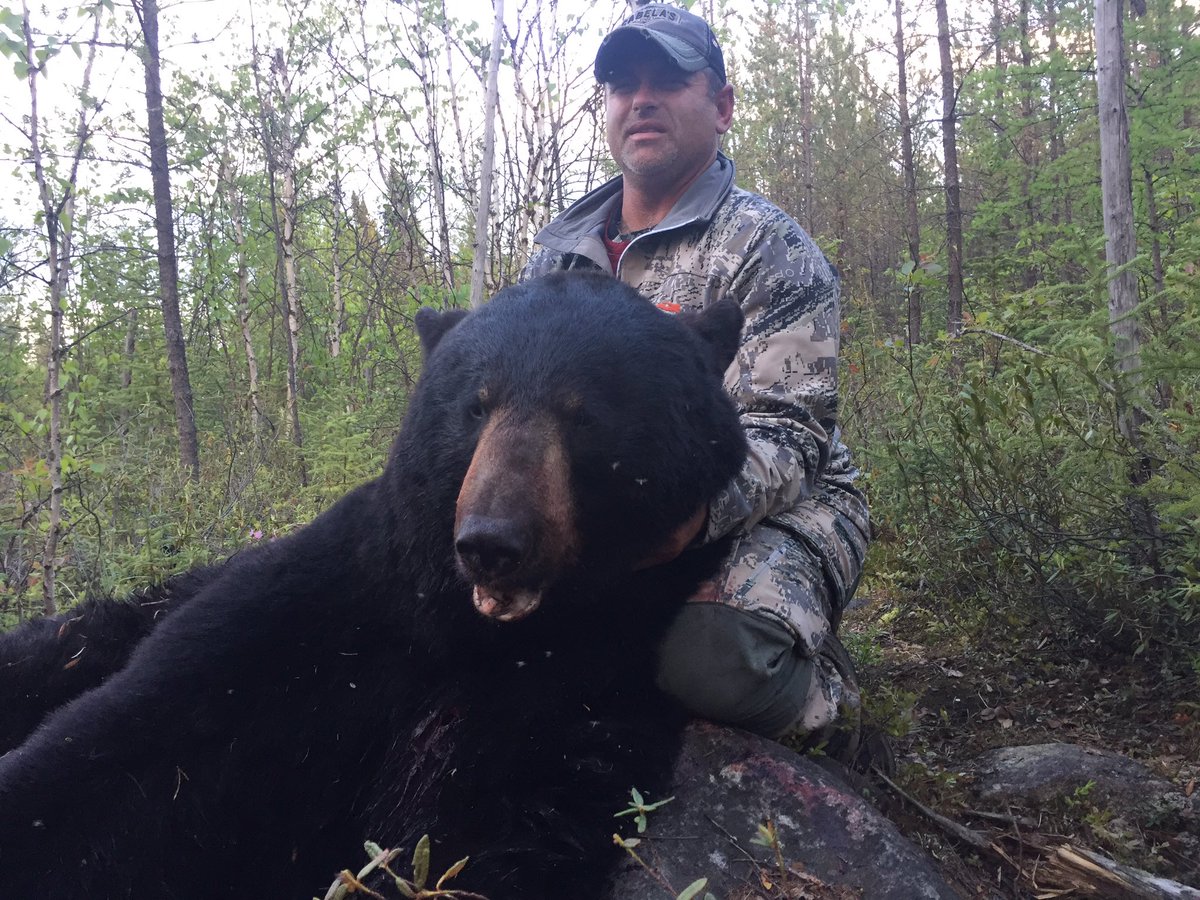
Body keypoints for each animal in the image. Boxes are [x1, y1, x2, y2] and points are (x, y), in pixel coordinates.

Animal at [0, 271, 746, 900]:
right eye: (476, 405)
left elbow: (489, 838)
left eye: (584, 413)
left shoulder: (578, 685)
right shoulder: (316, 610)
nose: (492, 543)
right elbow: (132, 747)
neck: (458, 626)